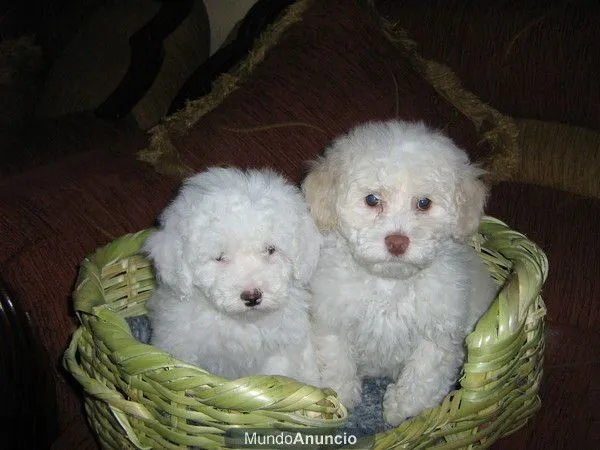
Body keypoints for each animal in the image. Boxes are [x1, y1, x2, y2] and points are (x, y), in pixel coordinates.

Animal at [144, 167, 324, 384]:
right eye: (220, 257)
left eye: (270, 250)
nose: (252, 296)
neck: (242, 323)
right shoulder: (181, 345)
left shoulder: (280, 351)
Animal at [304, 119, 496, 426]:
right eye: (372, 199)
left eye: (424, 203)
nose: (397, 241)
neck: (390, 283)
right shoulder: (332, 318)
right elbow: (336, 358)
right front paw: (339, 397)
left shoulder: (440, 330)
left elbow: (425, 371)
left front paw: (401, 408)